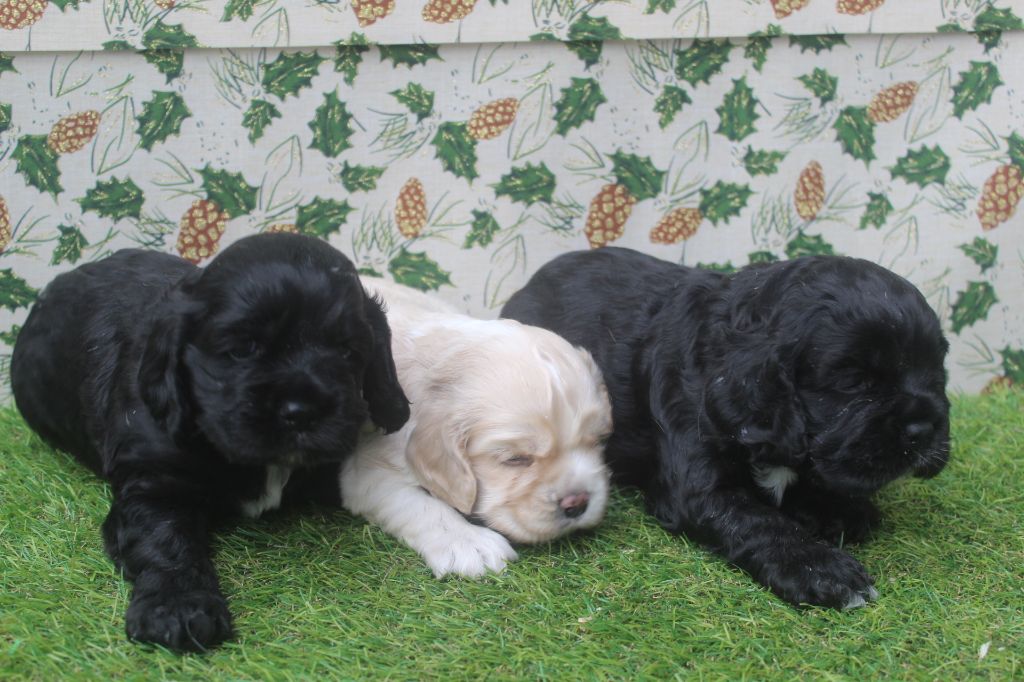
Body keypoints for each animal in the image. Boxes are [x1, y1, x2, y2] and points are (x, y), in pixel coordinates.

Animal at [9, 232, 407, 647]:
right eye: (243, 349)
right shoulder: (154, 478)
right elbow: (164, 537)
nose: (302, 410)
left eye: (348, 351)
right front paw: (179, 607)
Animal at [339, 274, 610, 573]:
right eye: (515, 459)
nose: (578, 503)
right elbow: (420, 504)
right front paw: (471, 543)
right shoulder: (368, 471)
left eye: (599, 440)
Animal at [503, 245, 950, 606]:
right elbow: (758, 521)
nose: (923, 428)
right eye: (854, 382)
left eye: (936, 370)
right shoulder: (697, 483)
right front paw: (820, 569)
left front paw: (838, 507)